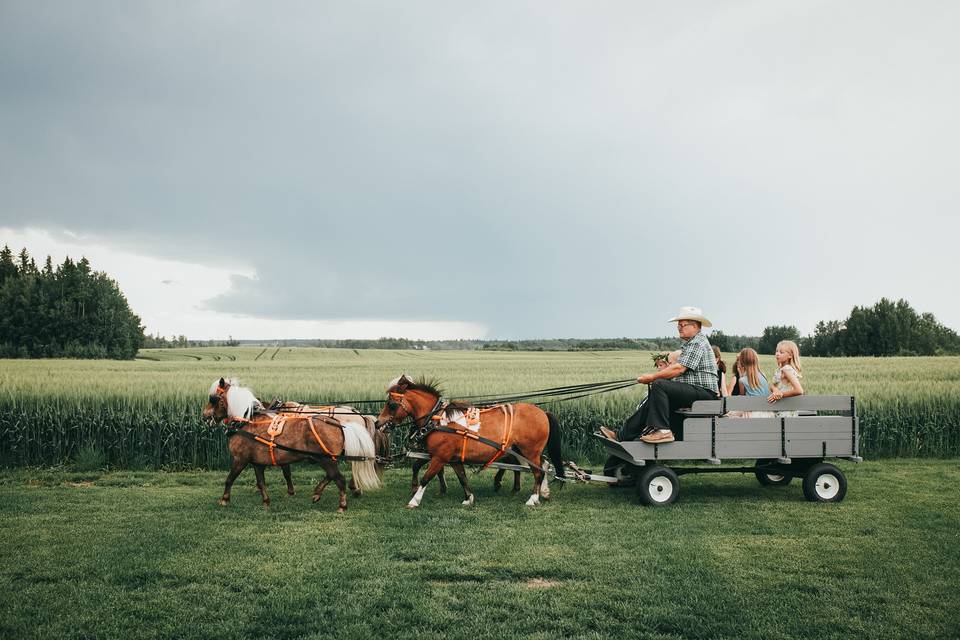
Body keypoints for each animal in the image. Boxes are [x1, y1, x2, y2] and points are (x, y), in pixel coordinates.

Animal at [204, 378, 380, 512]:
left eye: (213, 398)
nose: (204, 416)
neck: (246, 422)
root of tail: (339, 424)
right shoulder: (258, 463)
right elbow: (262, 482)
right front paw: (266, 501)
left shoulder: (240, 459)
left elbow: (230, 479)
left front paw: (224, 499)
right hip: (329, 459)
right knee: (333, 476)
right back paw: (320, 493)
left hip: (327, 459)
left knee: (339, 478)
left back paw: (342, 504)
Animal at [374, 376, 568, 504]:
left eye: (391, 404)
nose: (378, 423)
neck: (437, 418)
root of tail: (543, 412)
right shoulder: (452, 459)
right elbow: (462, 477)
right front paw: (469, 498)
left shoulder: (440, 457)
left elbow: (426, 477)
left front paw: (414, 500)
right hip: (523, 450)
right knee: (542, 465)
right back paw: (543, 492)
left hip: (529, 451)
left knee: (538, 472)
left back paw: (533, 498)